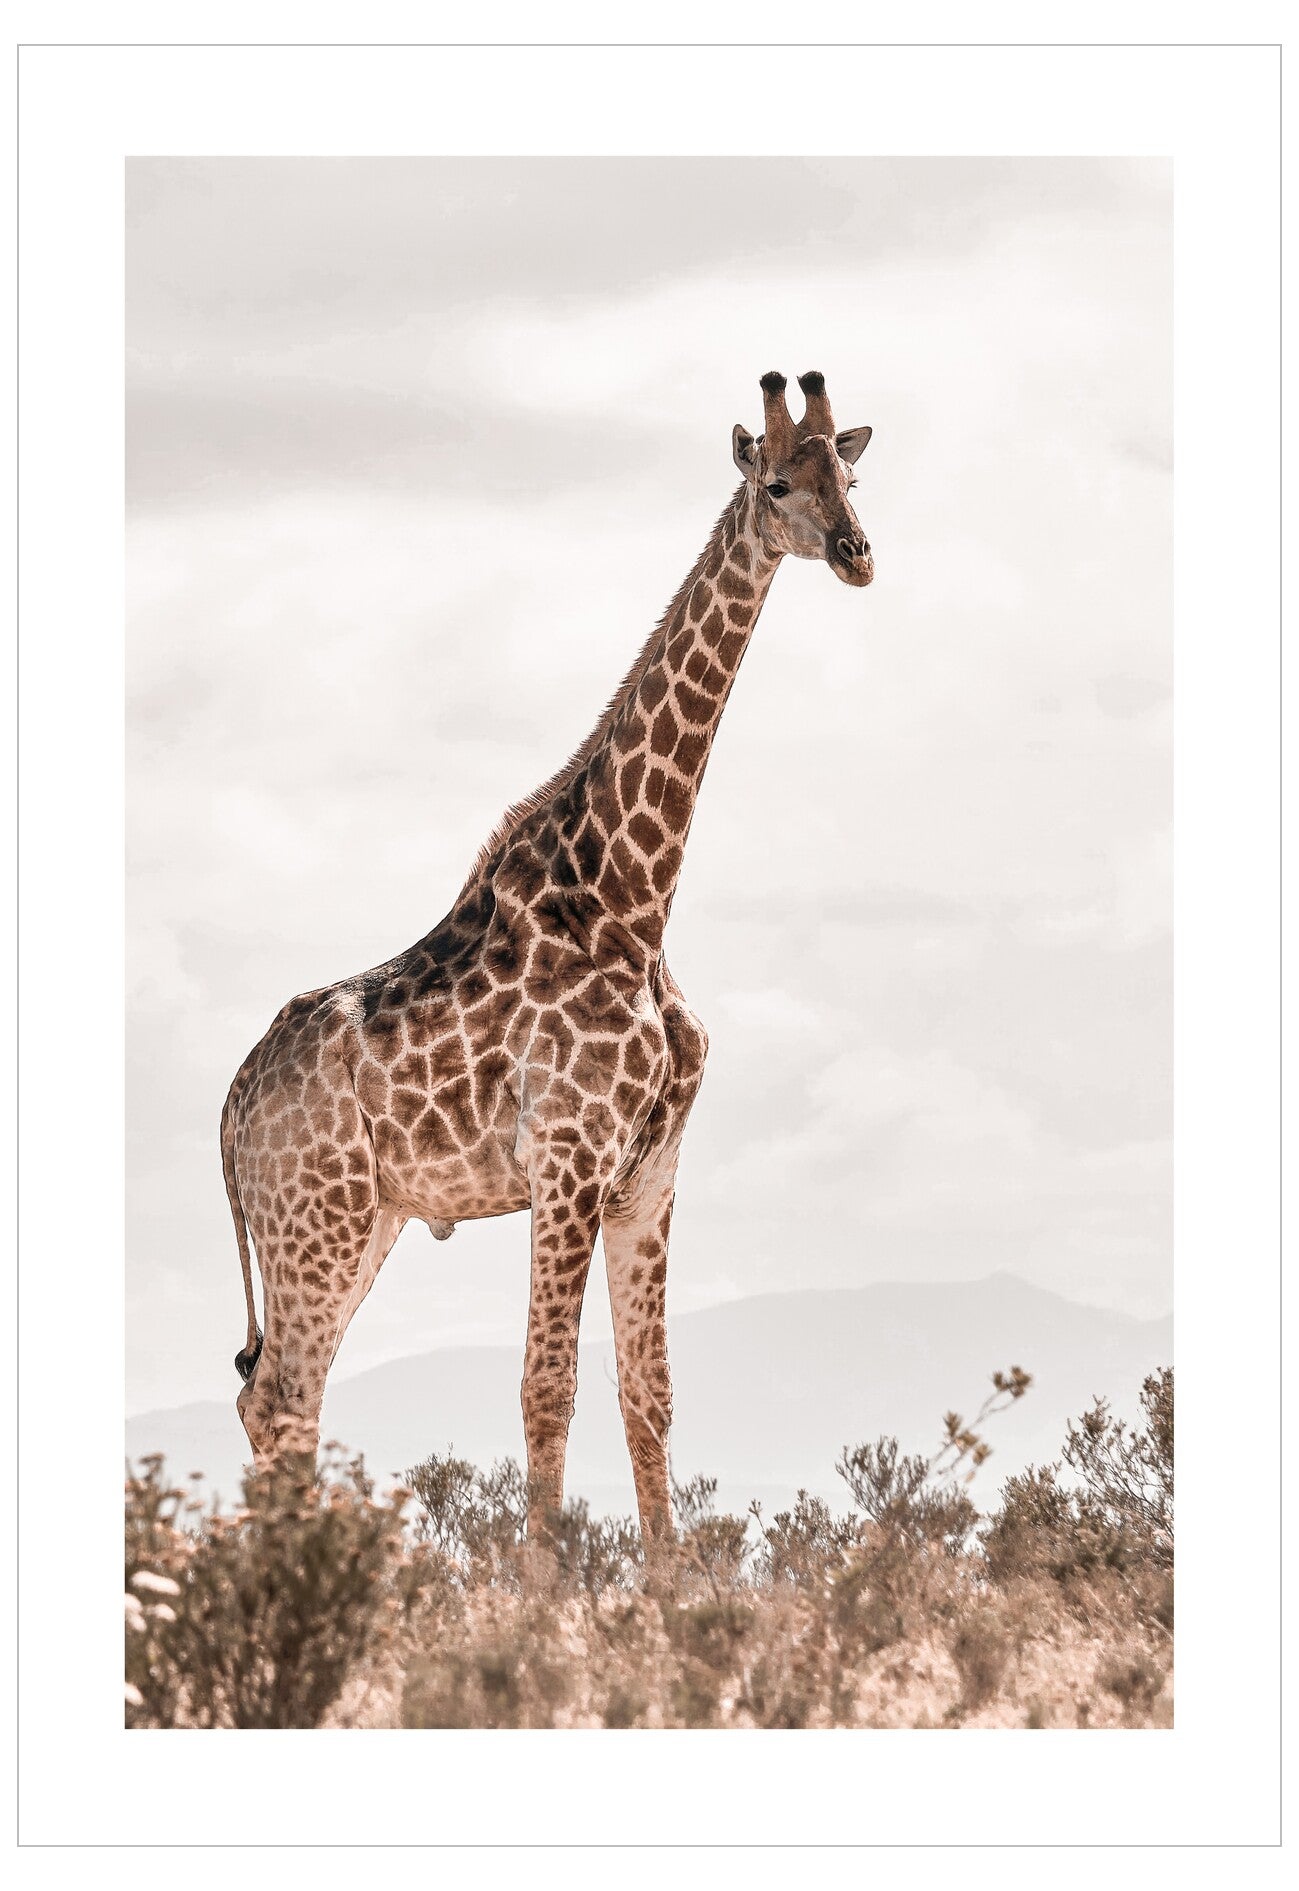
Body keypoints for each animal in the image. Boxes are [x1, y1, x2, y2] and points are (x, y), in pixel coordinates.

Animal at [221, 370, 873, 1547]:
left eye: (849, 475)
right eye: (776, 481)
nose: (855, 552)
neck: (637, 899)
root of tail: (231, 1106)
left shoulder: (649, 1172)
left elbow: (648, 1391)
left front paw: (672, 1595)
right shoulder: (567, 1157)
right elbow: (546, 1386)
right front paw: (546, 1594)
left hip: (363, 1219)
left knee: (279, 1395)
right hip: (314, 1216)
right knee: (283, 1394)